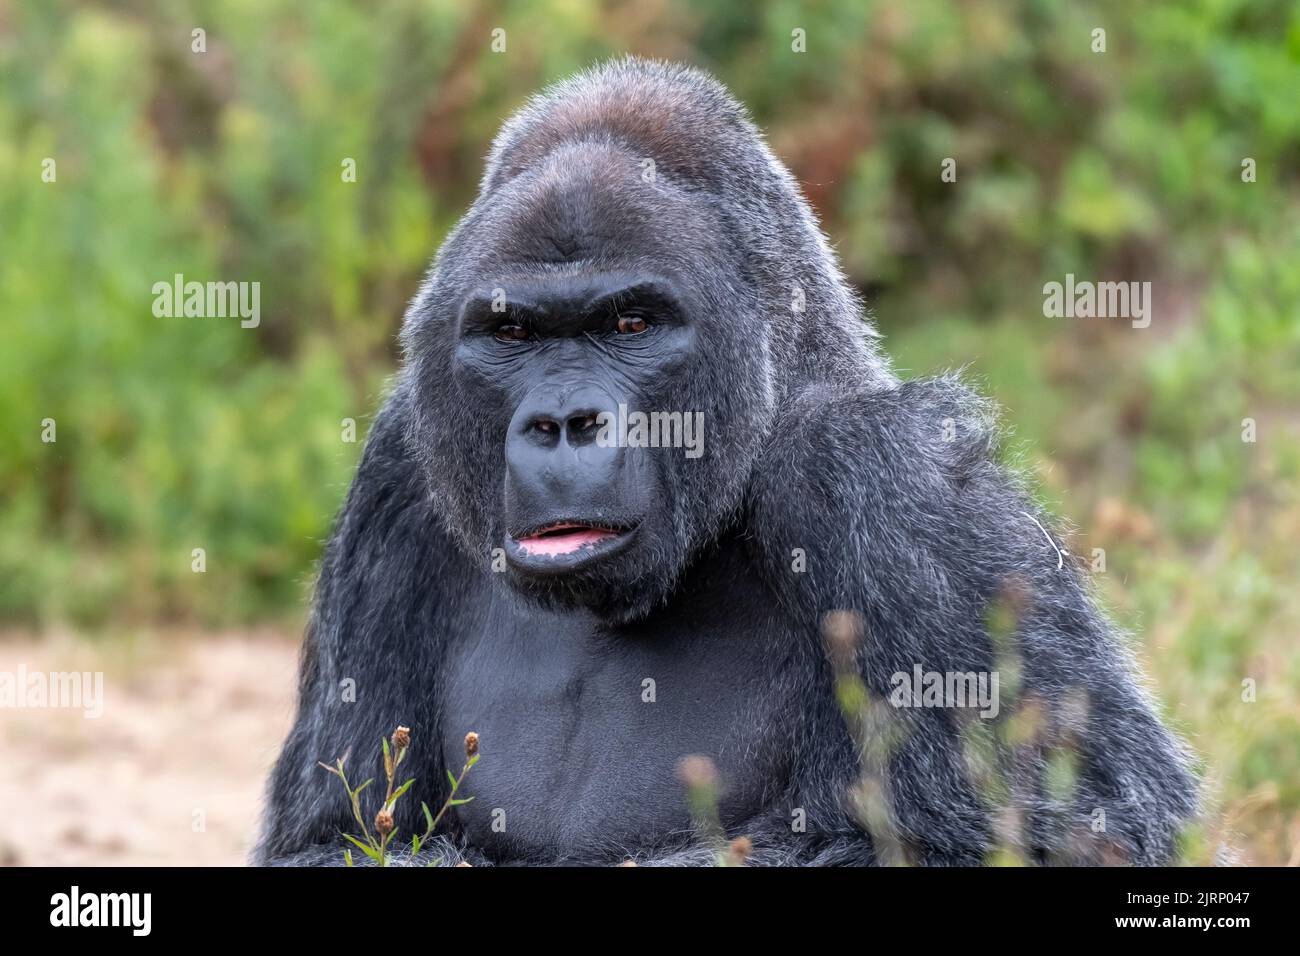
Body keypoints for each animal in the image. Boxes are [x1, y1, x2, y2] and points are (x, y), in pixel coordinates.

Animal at [256, 57, 1196, 868]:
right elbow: (329, 835)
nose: (564, 422)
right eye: (512, 331)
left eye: (631, 323)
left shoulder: (883, 475)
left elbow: (1084, 825)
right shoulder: (398, 477)